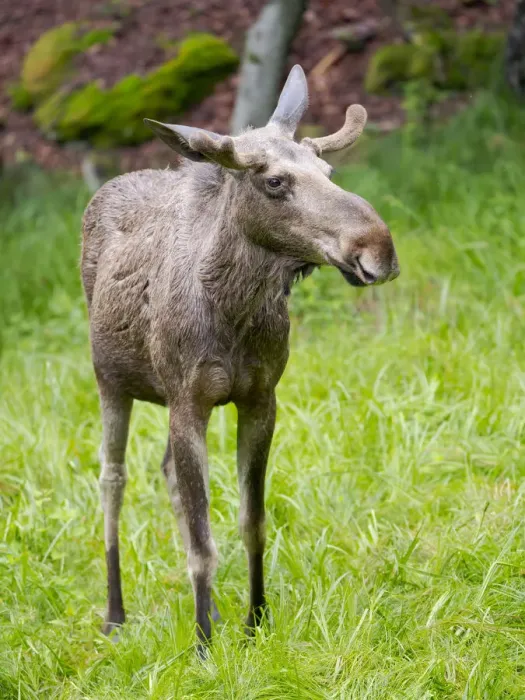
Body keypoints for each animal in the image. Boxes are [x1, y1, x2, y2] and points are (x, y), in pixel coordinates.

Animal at [81, 64, 399, 656]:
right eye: (274, 182)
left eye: (328, 169)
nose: (378, 249)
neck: (233, 314)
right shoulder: (188, 401)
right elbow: (203, 544)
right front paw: (203, 645)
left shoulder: (259, 398)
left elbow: (252, 522)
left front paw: (255, 622)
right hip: (111, 382)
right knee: (113, 480)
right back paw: (115, 614)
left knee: (165, 474)